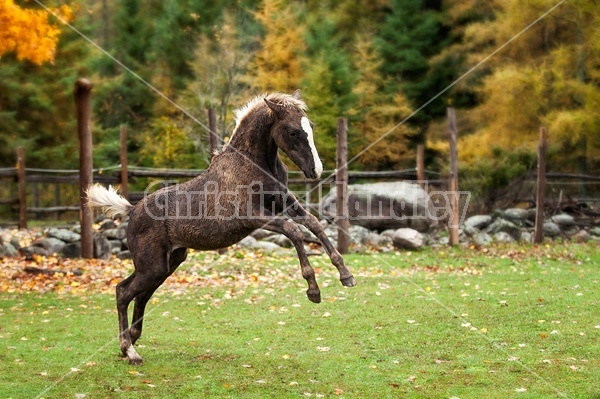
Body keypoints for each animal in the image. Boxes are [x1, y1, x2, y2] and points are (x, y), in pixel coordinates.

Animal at [86, 91, 354, 366]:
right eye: (292, 132)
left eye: (310, 126)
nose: (316, 170)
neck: (255, 164)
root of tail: (132, 210)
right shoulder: (252, 216)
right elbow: (294, 231)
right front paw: (313, 290)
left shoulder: (285, 203)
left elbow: (313, 224)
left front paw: (346, 275)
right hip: (152, 267)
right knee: (122, 292)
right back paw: (130, 350)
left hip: (166, 265)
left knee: (139, 296)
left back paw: (132, 340)